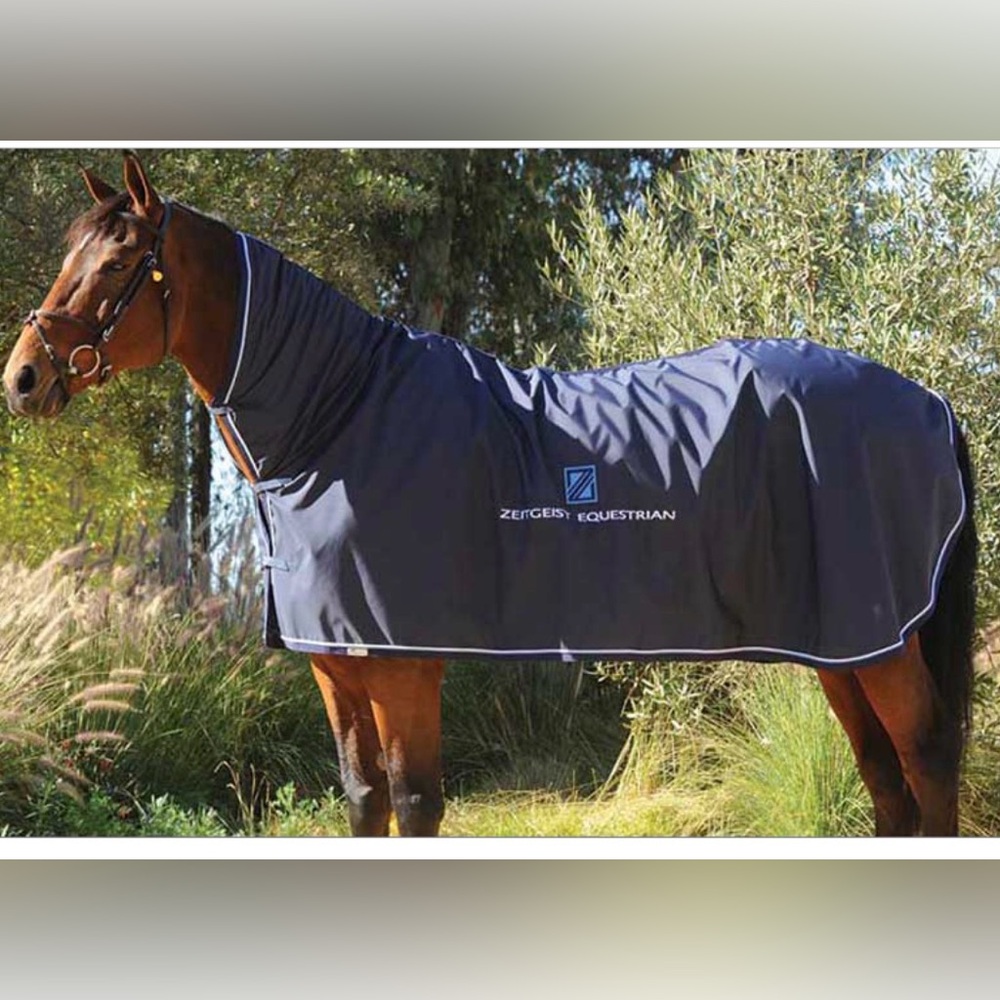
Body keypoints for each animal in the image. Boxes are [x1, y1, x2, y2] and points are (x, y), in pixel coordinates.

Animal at [3, 152, 979, 837]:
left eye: (117, 262)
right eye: (70, 254)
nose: (21, 378)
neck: (340, 417)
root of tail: (929, 403)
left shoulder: (404, 665)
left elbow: (415, 801)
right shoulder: (335, 665)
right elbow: (364, 800)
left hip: (879, 644)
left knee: (927, 763)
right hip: (842, 644)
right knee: (885, 780)